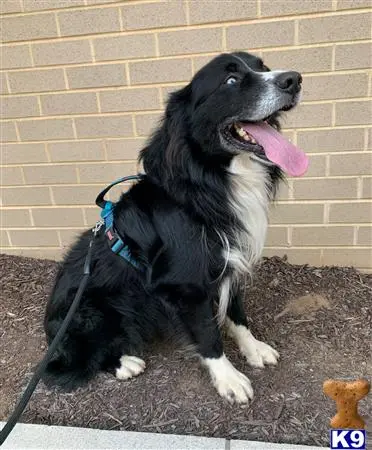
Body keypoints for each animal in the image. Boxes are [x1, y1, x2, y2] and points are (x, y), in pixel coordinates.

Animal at [43, 51, 308, 404]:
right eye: (231, 80)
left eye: (262, 67)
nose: (293, 79)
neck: (211, 184)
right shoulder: (186, 285)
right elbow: (208, 335)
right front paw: (229, 378)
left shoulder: (231, 261)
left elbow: (236, 313)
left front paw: (253, 349)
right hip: (93, 310)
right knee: (82, 357)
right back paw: (124, 363)